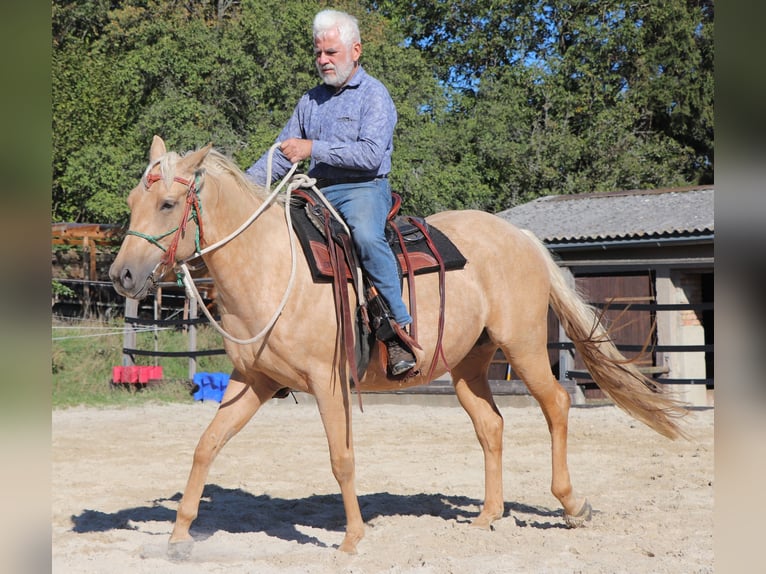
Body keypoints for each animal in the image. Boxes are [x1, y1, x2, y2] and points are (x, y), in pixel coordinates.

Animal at [109, 136, 688, 560]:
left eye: (168, 203)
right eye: (134, 202)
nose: (122, 276)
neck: (272, 266)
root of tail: (518, 235)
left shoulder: (328, 383)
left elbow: (341, 458)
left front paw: (352, 539)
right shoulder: (255, 380)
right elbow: (206, 445)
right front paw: (179, 535)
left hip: (522, 347)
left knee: (557, 405)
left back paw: (571, 504)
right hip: (468, 364)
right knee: (491, 426)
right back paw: (488, 515)